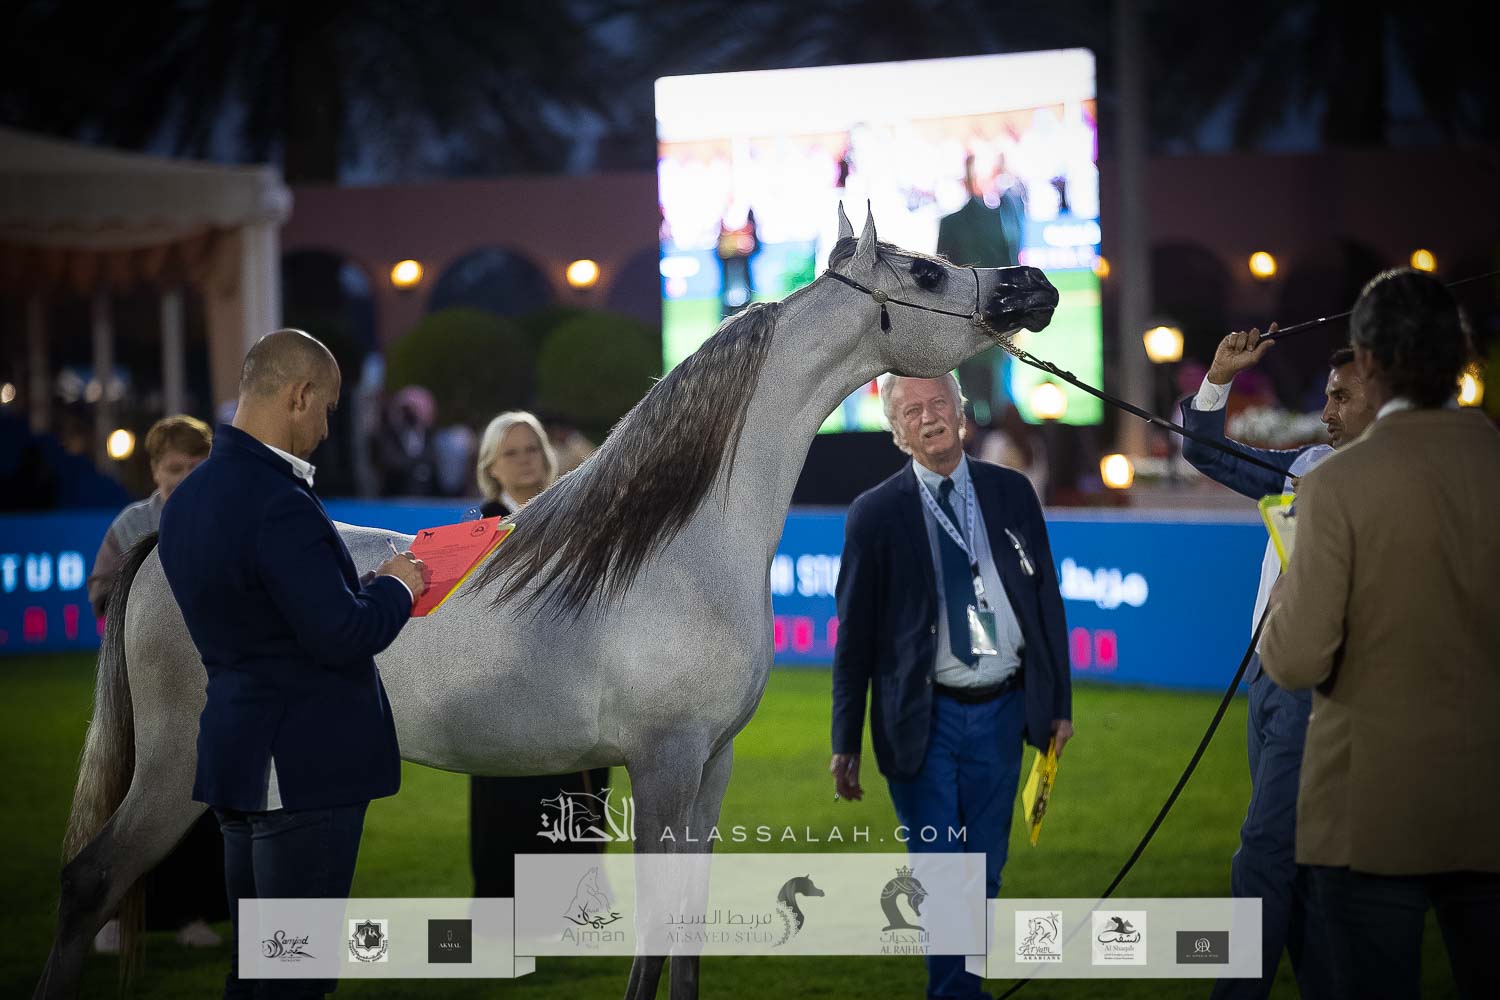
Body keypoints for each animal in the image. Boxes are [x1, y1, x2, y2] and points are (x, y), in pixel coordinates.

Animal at [34, 204, 1058, 1000]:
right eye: (924, 268)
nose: (1034, 284)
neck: (681, 551)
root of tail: (159, 545)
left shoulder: (711, 770)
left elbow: (689, 936)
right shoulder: (662, 765)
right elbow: (652, 939)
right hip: (172, 773)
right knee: (86, 883)